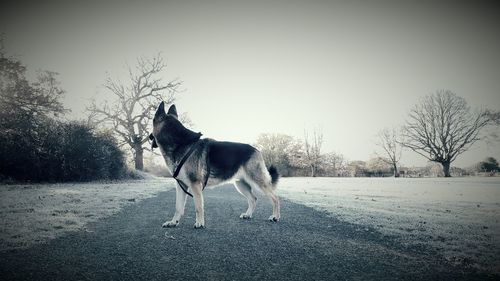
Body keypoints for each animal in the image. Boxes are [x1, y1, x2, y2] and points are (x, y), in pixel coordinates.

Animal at [150, 102, 280, 228]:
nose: (150, 136)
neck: (180, 142)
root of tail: (257, 150)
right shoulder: (181, 185)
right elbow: (178, 207)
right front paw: (173, 222)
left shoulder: (195, 185)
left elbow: (198, 207)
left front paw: (200, 223)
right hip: (241, 184)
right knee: (253, 199)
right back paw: (248, 214)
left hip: (257, 182)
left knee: (275, 198)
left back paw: (275, 217)